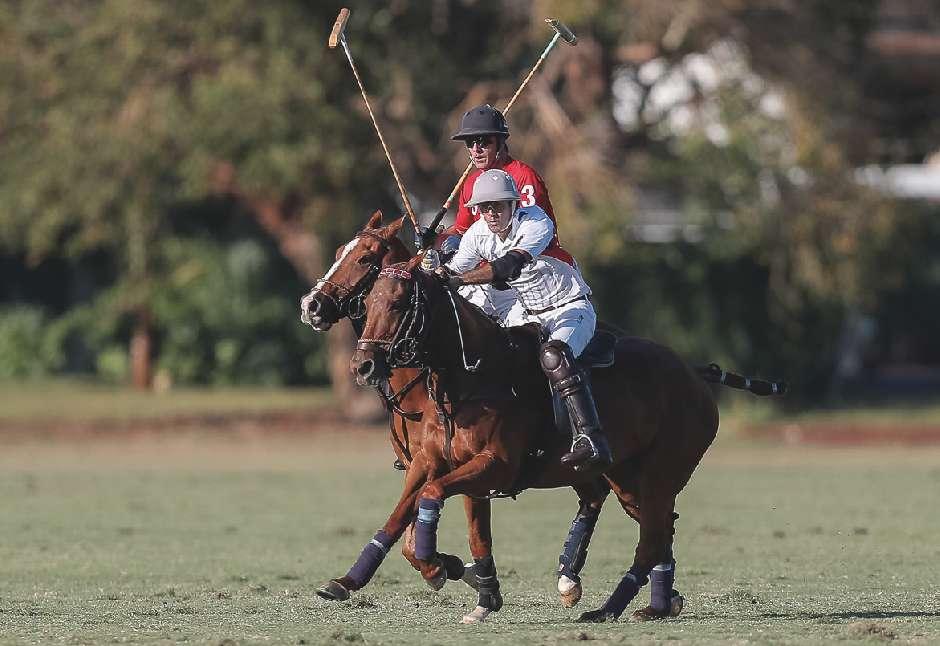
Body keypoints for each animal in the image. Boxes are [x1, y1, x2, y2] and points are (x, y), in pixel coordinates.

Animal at [303, 212, 612, 614]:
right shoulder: (423, 461)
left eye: (365, 258)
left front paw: (447, 570)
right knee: (593, 493)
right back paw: (568, 579)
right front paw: (449, 569)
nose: (311, 305)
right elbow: (407, 529)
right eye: (340, 251)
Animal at [347, 252, 724, 624]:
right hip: (628, 479)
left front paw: (437, 564)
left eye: (398, 304)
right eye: (367, 301)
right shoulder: (434, 462)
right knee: (659, 529)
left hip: (660, 473)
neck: (473, 377)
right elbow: (419, 520)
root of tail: (695, 375)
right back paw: (655, 604)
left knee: (649, 539)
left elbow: (431, 495)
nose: (362, 366)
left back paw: (607, 609)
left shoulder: (496, 465)